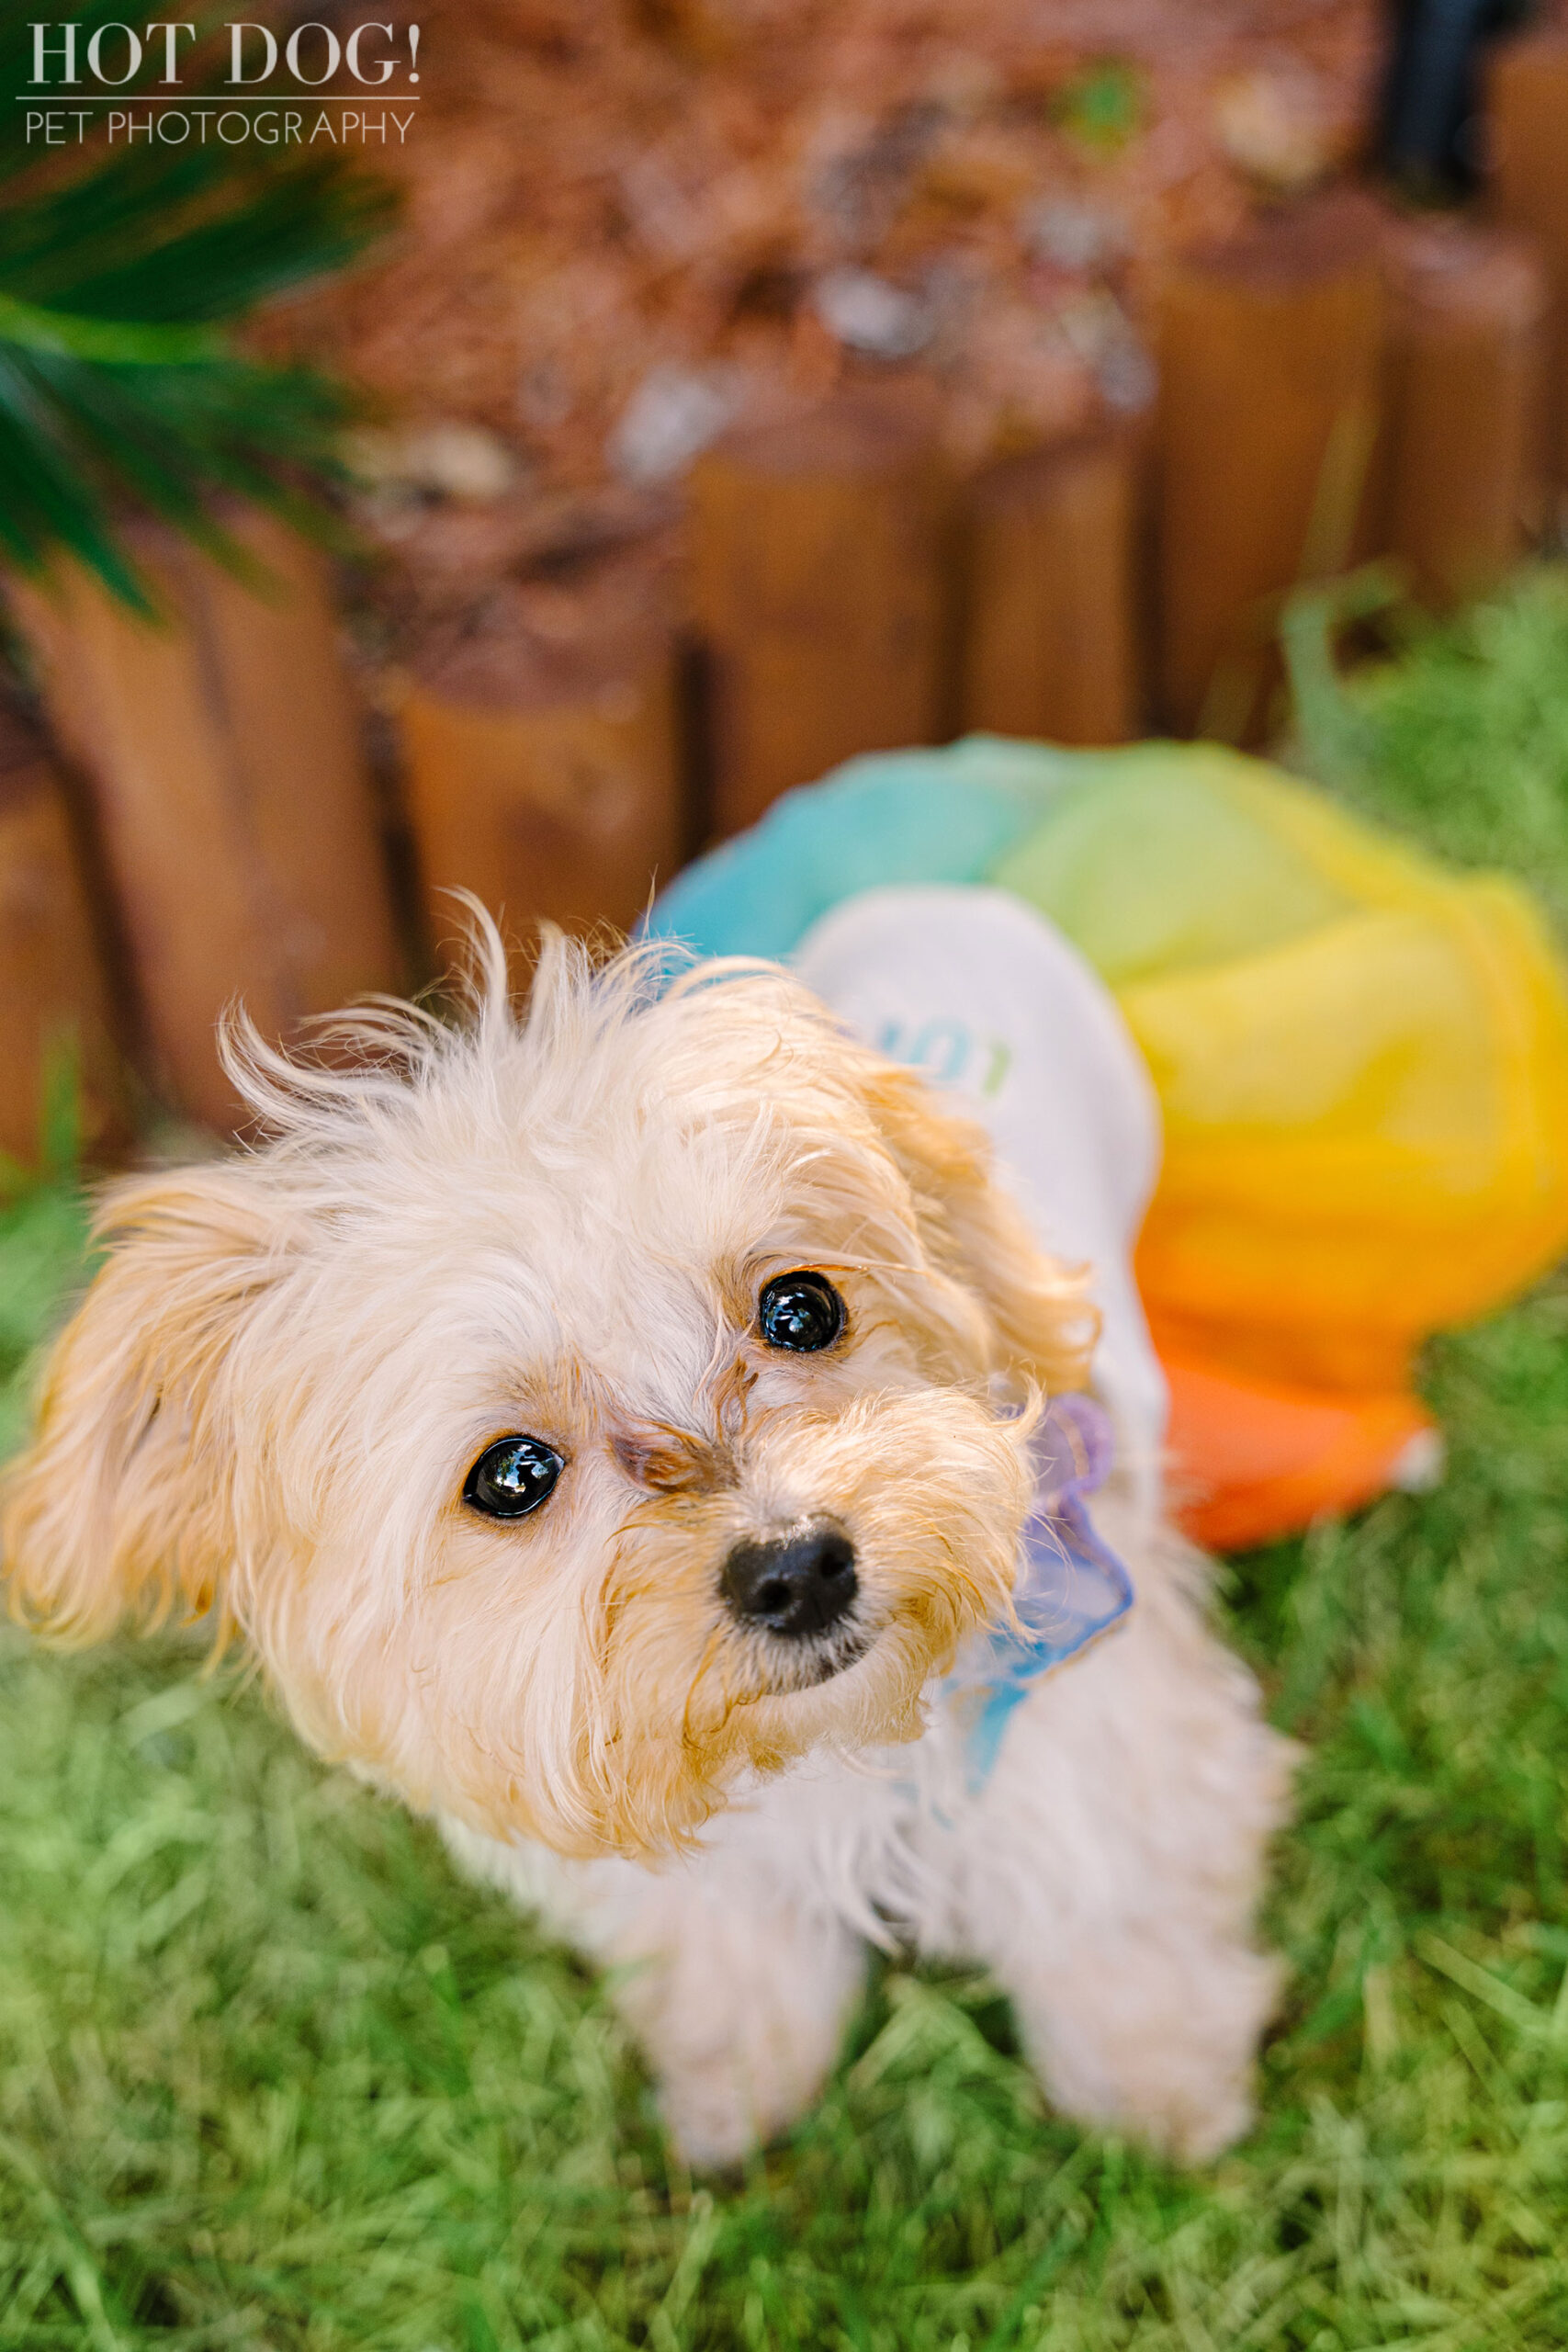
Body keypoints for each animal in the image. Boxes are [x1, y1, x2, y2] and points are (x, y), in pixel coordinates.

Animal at [3, 893, 1288, 2164]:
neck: (827, 1748)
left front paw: (1161, 2102)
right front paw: (736, 2101)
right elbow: (735, 1962)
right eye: (514, 1474)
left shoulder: (1104, 1713)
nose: (797, 1570)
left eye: (802, 1307)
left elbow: (1111, 1897)